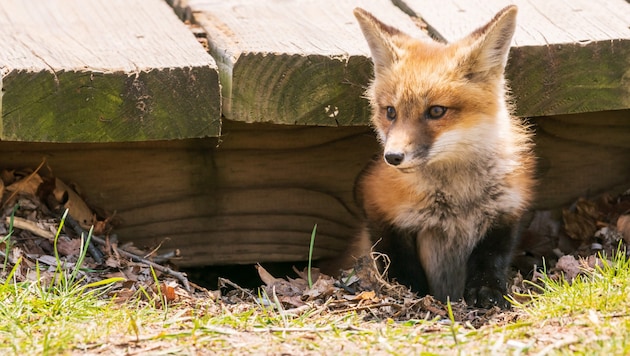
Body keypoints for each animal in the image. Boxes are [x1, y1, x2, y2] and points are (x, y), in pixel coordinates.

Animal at [348, 6, 536, 308]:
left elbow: (492, 258)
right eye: (390, 112)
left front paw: (488, 290)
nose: (393, 156)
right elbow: (398, 261)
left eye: (436, 111)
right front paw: (415, 294)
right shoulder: (377, 205)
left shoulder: (508, 210)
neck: (458, 197)